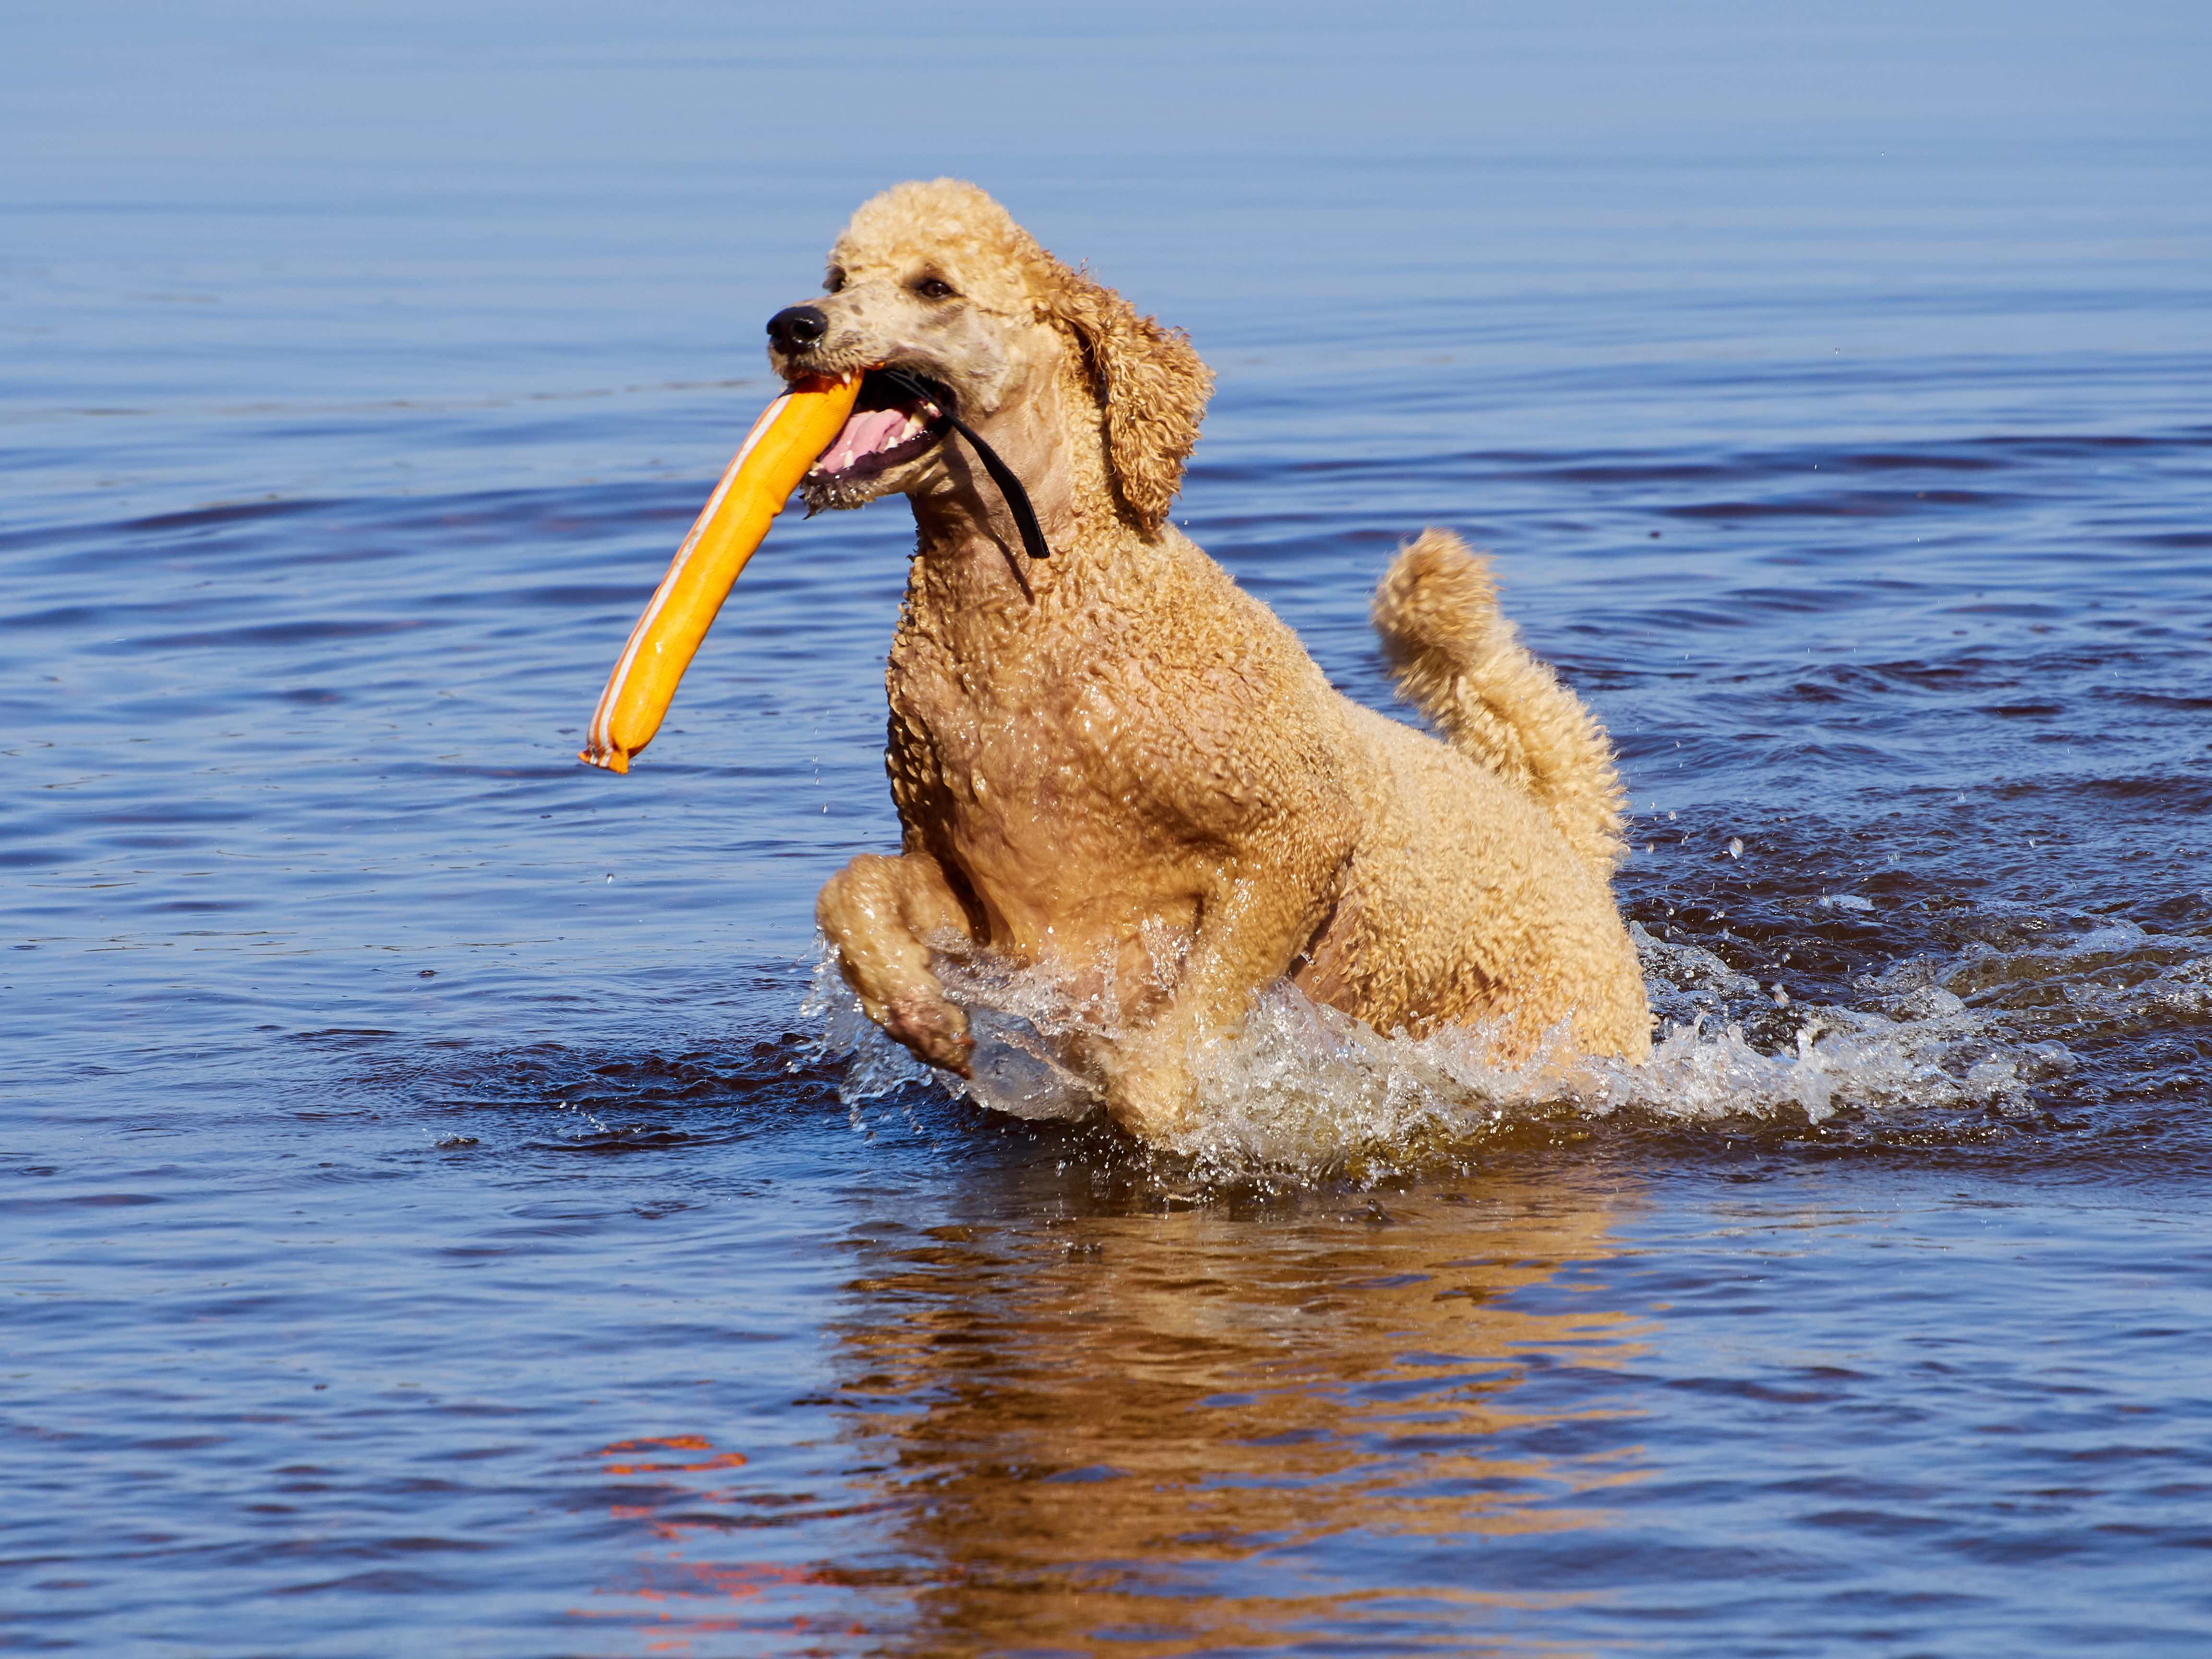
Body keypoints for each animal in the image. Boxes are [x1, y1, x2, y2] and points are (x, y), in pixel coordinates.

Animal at [769, 181, 1654, 1141]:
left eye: (933, 286)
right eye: (837, 277)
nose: (792, 324)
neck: (1037, 618)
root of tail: (1566, 841)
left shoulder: (1292, 840)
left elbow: (1161, 1060)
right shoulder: (989, 900)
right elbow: (847, 889)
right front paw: (922, 1015)